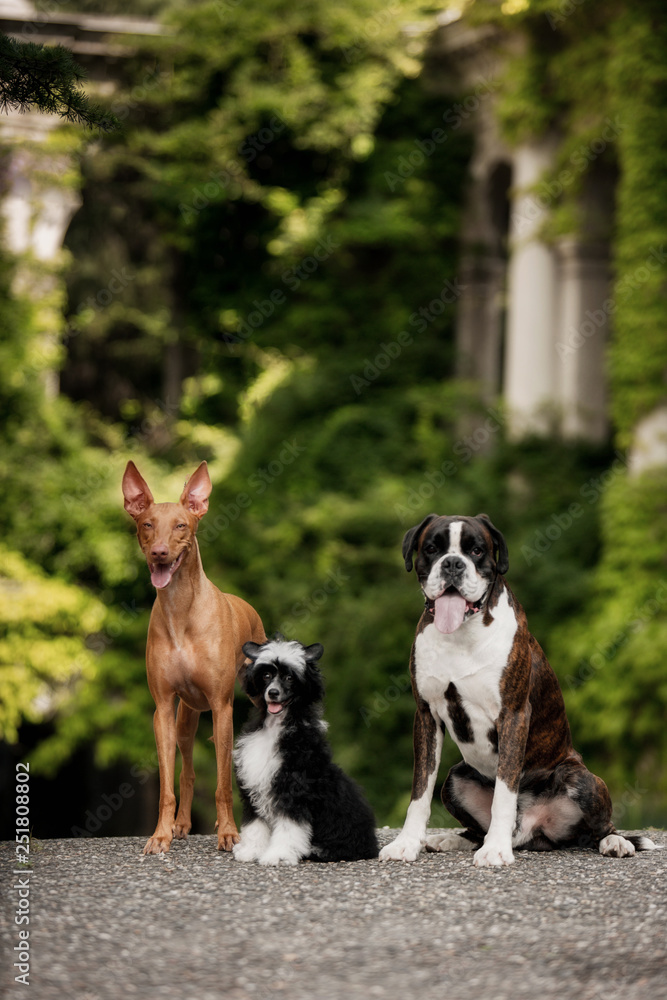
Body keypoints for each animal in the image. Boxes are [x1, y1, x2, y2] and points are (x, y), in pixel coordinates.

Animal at [122, 460, 266, 852]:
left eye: (180, 525)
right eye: (147, 524)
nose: (159, 552)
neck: (179, 609)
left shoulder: (221, 707)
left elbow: (223, 783)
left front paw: (228, 831)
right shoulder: (162, 709)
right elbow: (167, 785)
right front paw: (161, 834)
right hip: (186, 718)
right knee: (187, 771)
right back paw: (182, 823)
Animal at [232, 640, 378, 868]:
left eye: (289, 678)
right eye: (266, 675)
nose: (273, 692)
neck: (275, 727)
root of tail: (372, 844)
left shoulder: (294, 790)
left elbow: (289, 828)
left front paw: (279, 855)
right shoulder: (253, 787)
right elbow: (255, 824)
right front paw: (251, 850)